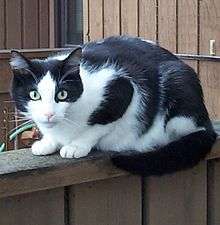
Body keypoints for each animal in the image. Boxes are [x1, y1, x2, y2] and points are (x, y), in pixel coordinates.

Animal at [9, 36, 217, 176]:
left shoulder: (122, 88)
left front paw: (76, 145)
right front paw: (48, 142)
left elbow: (100, 124)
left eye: (62, 94)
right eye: (34, 95)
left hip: (178, 82)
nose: (49, 114)